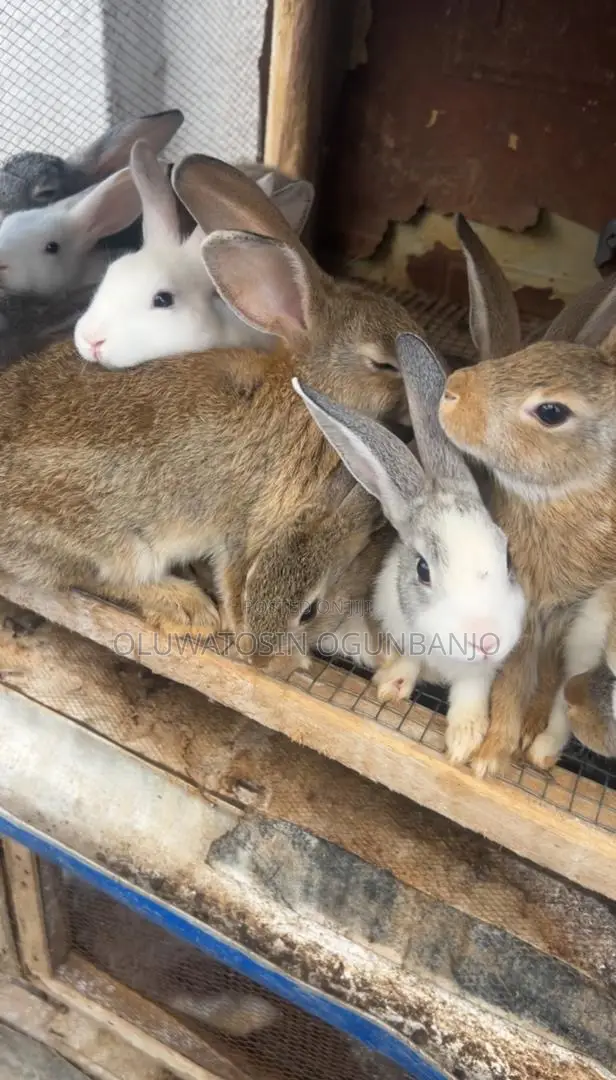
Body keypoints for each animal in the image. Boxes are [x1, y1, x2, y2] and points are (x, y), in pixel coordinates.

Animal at [293, 332, 526, 766]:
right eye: (422, 569)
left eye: (506, 557)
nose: (486, 640)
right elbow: (409, 659)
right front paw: (392, 684)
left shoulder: (482, 671)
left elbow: (472, 687)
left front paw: (464, 740)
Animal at [439, 214, 616, 775]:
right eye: (521, 357)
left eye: (551, 411)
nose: (454, 388)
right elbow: (513, 683)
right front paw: (493, 755)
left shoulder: (569, 613)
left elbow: (549, 682)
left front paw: (523, 740)